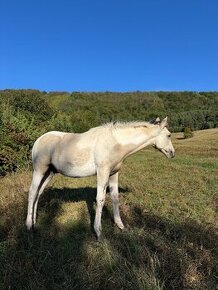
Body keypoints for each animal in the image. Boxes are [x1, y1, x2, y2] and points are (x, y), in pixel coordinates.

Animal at [26, 116, 175, 239]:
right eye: (169, 135)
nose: (172, 153)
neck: (115, 143)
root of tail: (38, 140)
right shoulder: (102, 172)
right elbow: (100, 199)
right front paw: (98, 232)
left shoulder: (114, 174)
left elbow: (115, 197)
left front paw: (120, 225)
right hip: (39, 170)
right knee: (32, 193)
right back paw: (28, 227)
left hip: (49, 173)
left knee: (38, 193)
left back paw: (34, 222)